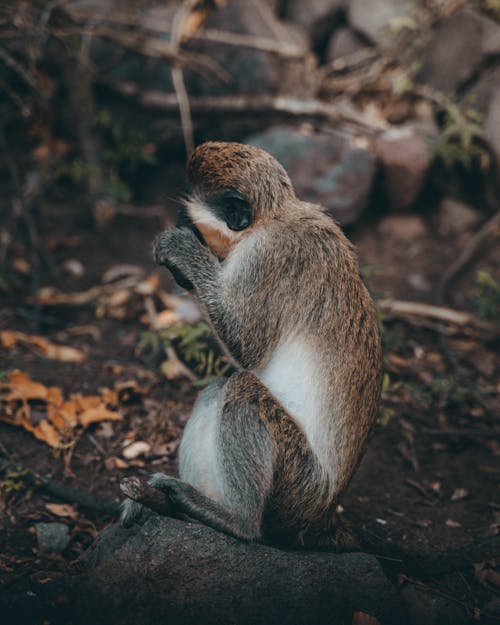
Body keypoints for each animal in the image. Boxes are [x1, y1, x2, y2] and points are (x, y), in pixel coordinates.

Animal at [122, 140, 382, 544]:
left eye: (185, 220)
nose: (177, 275)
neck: (274, 217)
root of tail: (322, 518)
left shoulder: (268, 255)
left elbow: (247, 347)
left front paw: (184, 252)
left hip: (298, 489)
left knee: (243, 388)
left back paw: (237, 521)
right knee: (220, 387)